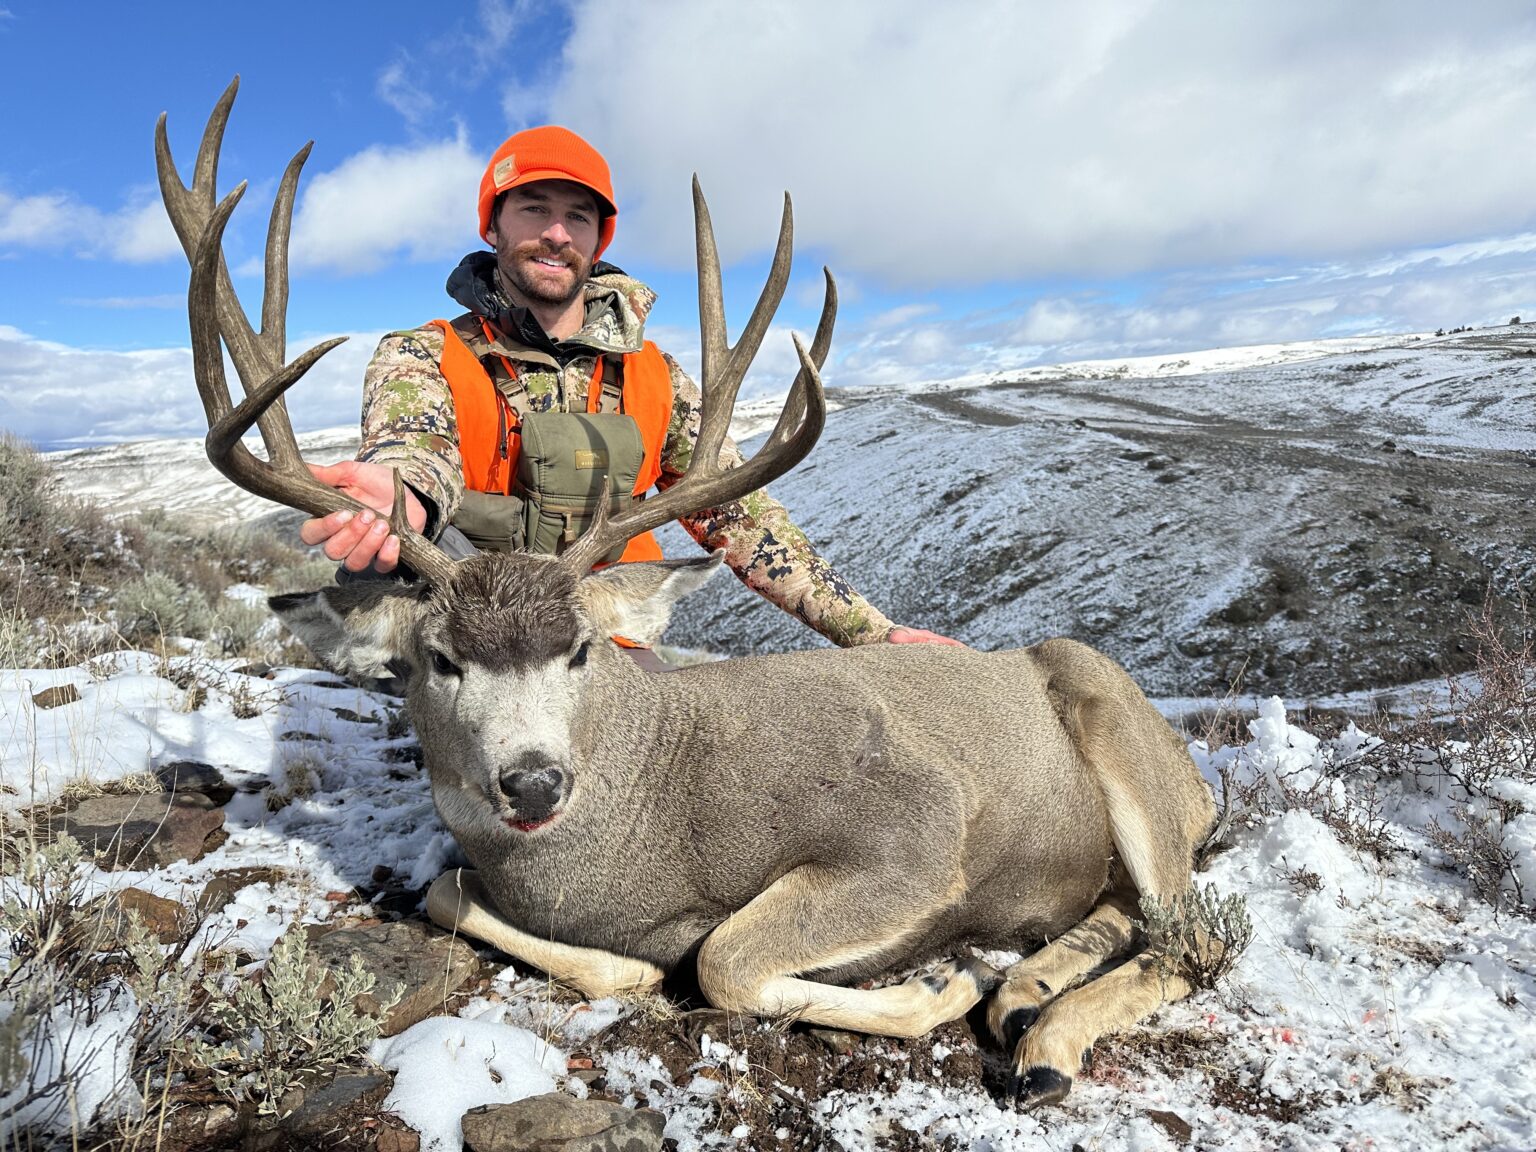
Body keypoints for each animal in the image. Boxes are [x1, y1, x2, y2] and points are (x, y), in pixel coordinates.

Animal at [157, 78, 1219, 1109]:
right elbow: (456, 894)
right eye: (440, 660)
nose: (533, 781)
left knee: (1188, 936)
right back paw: (1027, 993)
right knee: (1128, 915)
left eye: (579, 649)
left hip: (1117, 731)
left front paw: (943, 977)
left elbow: (724, 958)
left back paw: (1044, 1039)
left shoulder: (914, 825)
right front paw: (635, 969)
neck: (650, 821)